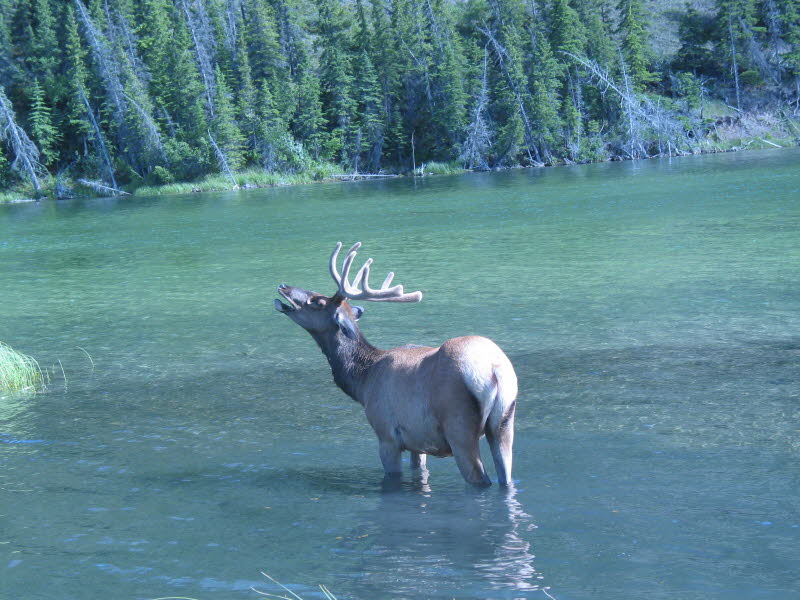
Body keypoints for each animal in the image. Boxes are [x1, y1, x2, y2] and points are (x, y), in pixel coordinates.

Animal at [276, 241, 520, 486]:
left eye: (317, 301)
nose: (284, 286)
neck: (363, 382)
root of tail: (494, 370)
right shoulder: (418, 443)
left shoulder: (387, 435)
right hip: (504, 423)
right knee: (505, 476)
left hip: (458, 425)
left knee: (480, 478)